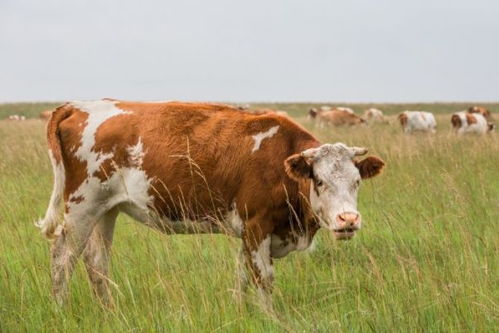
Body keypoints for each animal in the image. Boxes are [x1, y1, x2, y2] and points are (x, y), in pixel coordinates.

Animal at [36, 100, 386, 308]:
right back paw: (61, 310)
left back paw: (108, 312)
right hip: (82, 207)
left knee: (97, 262)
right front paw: (268, 317)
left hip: (106, 210)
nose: (347, 219)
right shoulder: (257, 226)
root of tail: (78, 105)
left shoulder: (249, 234)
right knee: (63, 259)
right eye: (320, 181)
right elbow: (263, 279)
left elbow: (242, 277)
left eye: (356, 182)